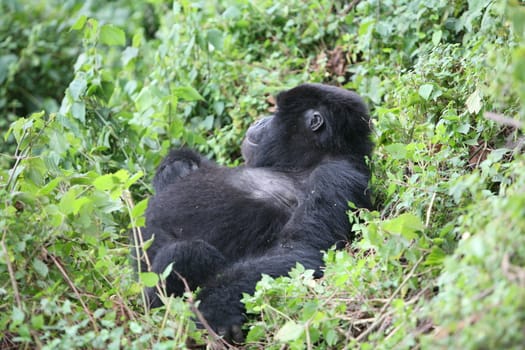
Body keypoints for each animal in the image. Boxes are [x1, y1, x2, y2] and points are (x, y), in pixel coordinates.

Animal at [137, 82, 370, 342]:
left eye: (276, 114)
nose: (260, 120)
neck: (309, 160)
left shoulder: (335, 175)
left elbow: (300, 249)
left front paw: (215, 308)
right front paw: (176, 166)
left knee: (186, 254)